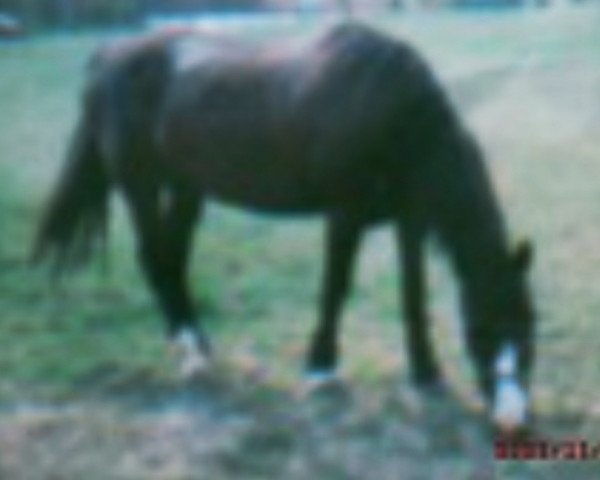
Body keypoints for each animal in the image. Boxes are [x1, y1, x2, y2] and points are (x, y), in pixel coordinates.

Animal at [35, 22, 536, 432]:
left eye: (529, 328)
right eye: (485, 329)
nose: (514, 420)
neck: (393, 112)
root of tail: (109, 54)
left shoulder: (408, 219)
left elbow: (412, 294)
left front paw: (427, 373)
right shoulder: (344, 213)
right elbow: (335, 287)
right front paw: (321, 368)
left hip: (187, 188)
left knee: (171, 256)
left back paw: (193, 343)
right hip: (140, 186)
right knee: (154, 256)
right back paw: (193, 351)